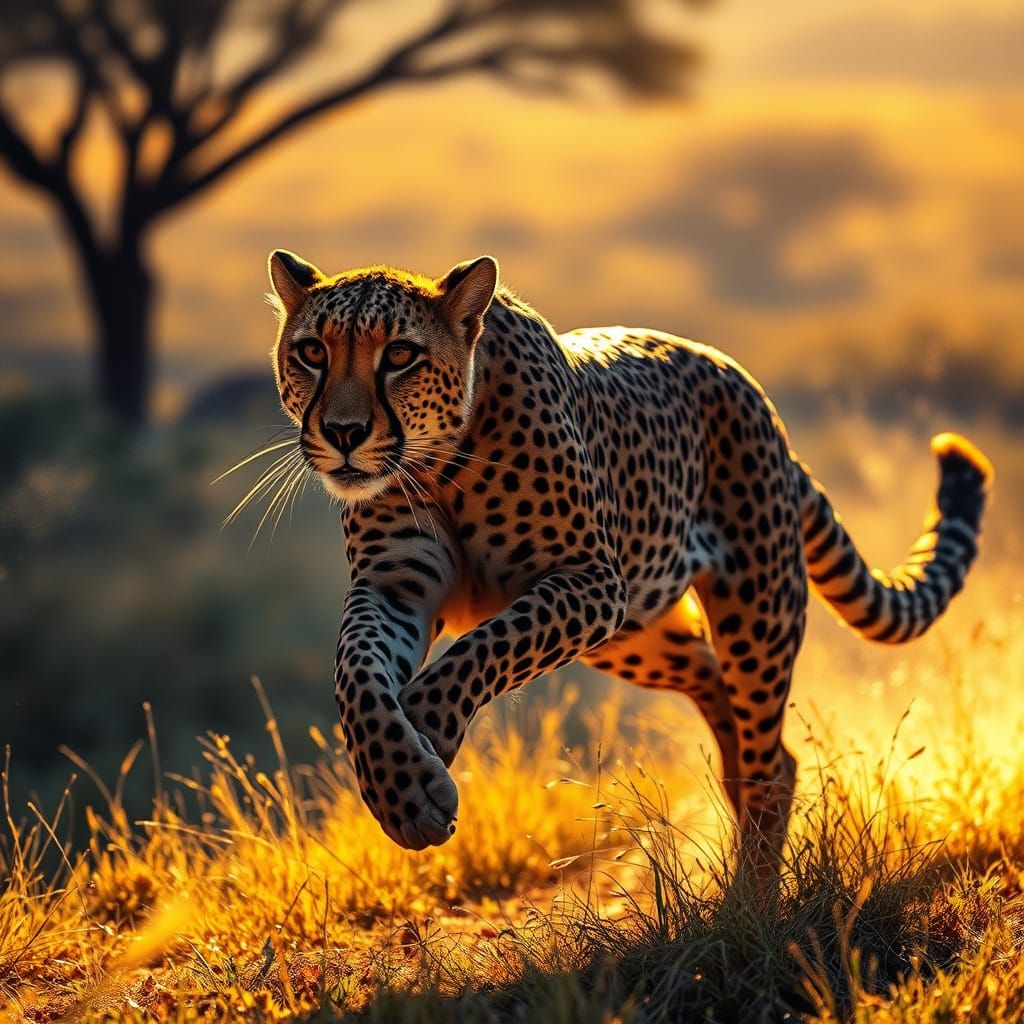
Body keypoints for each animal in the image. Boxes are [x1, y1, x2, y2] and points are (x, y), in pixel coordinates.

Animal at [266, 248, 992, 876]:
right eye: (311, 352)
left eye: (400, 356)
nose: (344, 433)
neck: (439, 463)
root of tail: (751, 392)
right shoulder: (393, 587)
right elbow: (357, 673)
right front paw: (399, 785)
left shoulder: (588, 579)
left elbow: (482, 650)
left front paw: (425, 740)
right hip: (637, 637)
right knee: (723, 698)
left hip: (751, 611)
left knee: (771, 764)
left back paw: (751, 902)